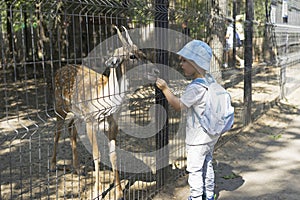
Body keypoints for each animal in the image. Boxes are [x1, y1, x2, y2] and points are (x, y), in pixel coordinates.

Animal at [51, 25, 148, 199]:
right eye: (132, 56)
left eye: (142, 53)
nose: (155, 70)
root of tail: (58, 70)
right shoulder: (91, 121)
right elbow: (97, 155)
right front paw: (96, 192)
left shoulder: (112, 123)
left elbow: (114, 155)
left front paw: (119, 191)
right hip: (60, 106)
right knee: (57, 132)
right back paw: (53, 164)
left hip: (77, 114)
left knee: (71, 128)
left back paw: (78, 168)